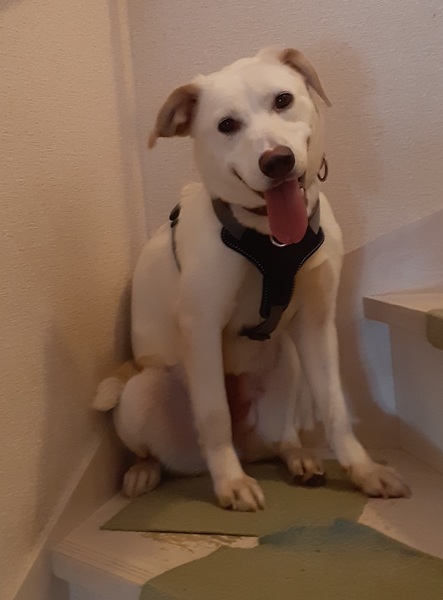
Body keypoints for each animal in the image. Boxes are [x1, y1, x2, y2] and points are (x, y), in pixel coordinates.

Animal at [94, 47, 410, 511]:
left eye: (283, 100)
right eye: (226, 125)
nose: (277, 160)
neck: (269, 238)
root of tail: (249, 447)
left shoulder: (316, 324)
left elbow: (335, 407)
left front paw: (363, 470)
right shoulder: (201, 326)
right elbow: (214, 415)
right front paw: (230, 482)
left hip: (290, 364)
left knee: (281, 438)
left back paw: (298, 458)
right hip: (140, 393)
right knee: (154, 445)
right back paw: (144, 471)